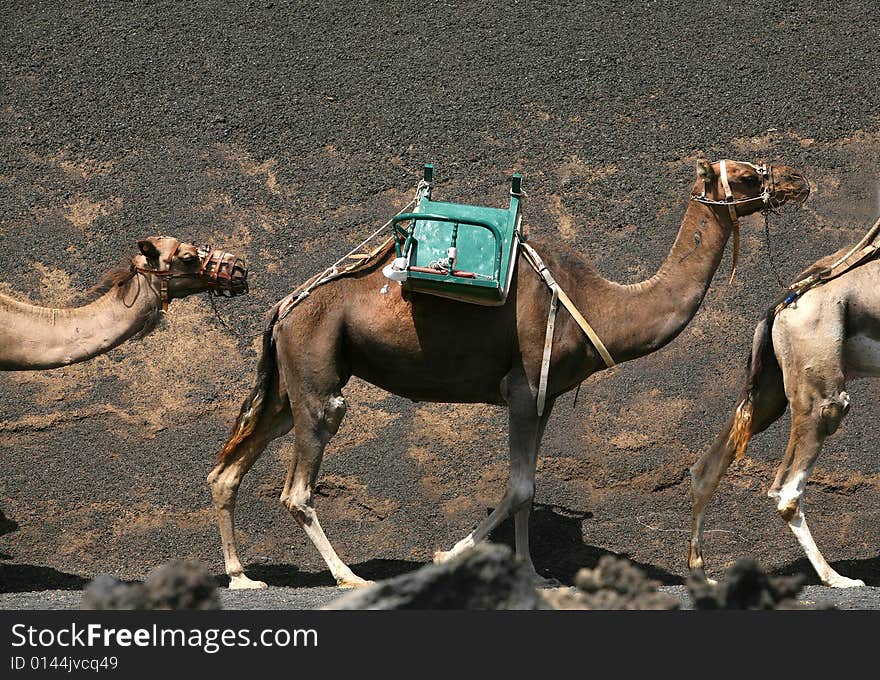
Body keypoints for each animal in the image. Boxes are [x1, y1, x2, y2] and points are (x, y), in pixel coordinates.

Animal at [208, 159, 812, 588]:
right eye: (746, 173)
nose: (798, 179)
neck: (601, 306)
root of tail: (282, 305)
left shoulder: (545, 393)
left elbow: (528, 487)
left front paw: (530, 571)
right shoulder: (521, 387)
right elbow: (519, 485)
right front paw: (446, 553)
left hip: (292, 381)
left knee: (229, 467)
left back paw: (242, 577)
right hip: (315, 369)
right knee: (299, 484)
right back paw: (346, 576)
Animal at [688, 215, 880, 588]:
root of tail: (782, 305)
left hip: (770, 395)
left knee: (707, 467)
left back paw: (701, 572)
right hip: (823, 397)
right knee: (786, 492)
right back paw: (837, 579)